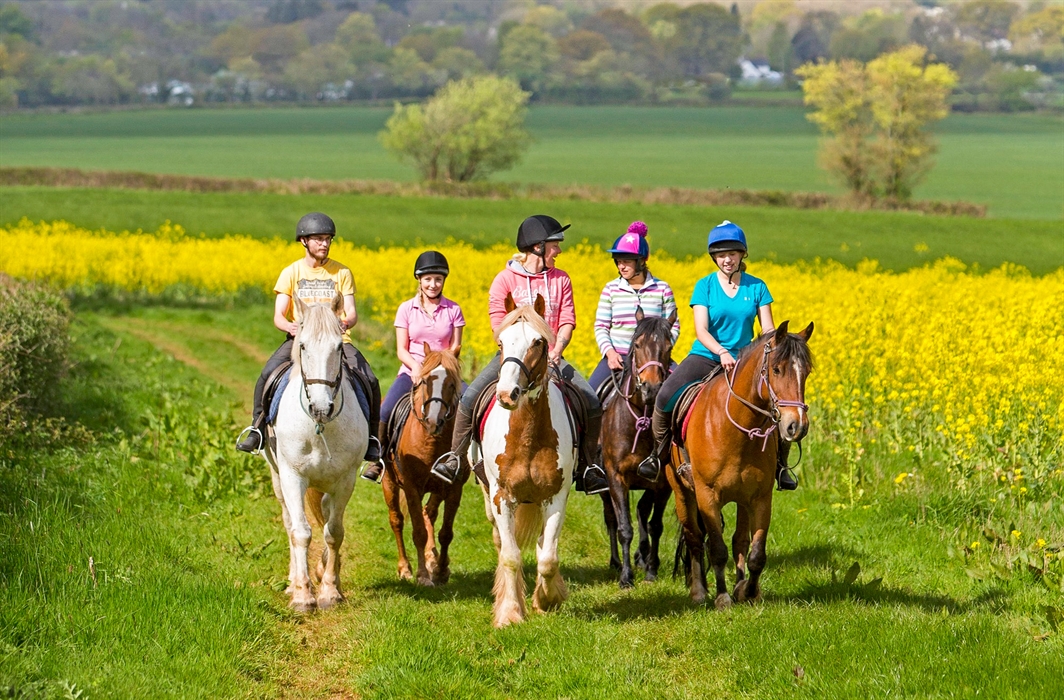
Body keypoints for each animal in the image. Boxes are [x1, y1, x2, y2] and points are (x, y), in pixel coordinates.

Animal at [263, 295, 368, 612]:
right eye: (303, 346)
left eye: (338, 348)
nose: (321, 408)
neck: (319, 426)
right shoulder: (292, 476)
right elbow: (301, 531)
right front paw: (302, 595)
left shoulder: (345, 480)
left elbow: (333, 532)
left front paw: (330, 591)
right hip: (277, 478)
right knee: (289, 522)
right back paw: (293, 581)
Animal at [381, 345, 465, 586]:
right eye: (426, 381)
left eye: (452, 383)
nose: (433, 421)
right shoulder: (411, 488)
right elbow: (418, 532)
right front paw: (422, 576)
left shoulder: (454, 487)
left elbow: (446, 532)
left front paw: (441, 571)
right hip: (389, 482)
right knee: (397, 521)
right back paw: (405, 568)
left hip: (437, 488)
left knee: (430, 513)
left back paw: (432, 558)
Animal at [474, 293, 575, 628]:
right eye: (501, 343)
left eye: (538, 342)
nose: (508, 394)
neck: (528, 434)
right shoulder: (502, 497)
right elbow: (510, 556)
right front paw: (509, 612)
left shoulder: (555, 496)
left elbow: (547, 558)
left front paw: (546, 599)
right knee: (501, 542)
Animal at [600, 308, 677, 588]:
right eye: (638, 344)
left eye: (668, 347)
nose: (651, 388)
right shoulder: (616, 478)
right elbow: (624, 527)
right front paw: (625, 577)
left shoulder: (662, 482)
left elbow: (655, 525)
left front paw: (651, 570)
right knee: (611, 517)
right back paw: (616, 562)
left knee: (643, 511)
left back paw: (642, 557)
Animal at [670, 320, 813, 609]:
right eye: (776, 369)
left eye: (806, 372)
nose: (797, 426)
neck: (737, 429)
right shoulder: (707, 496)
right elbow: (716, 548)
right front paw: (722, 598)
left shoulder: (760, 497)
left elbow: (755, 552)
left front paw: (747, 591)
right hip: (682, 493)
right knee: (694, 538)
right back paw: (699, 592)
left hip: (741, 499)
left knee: (739, 540)